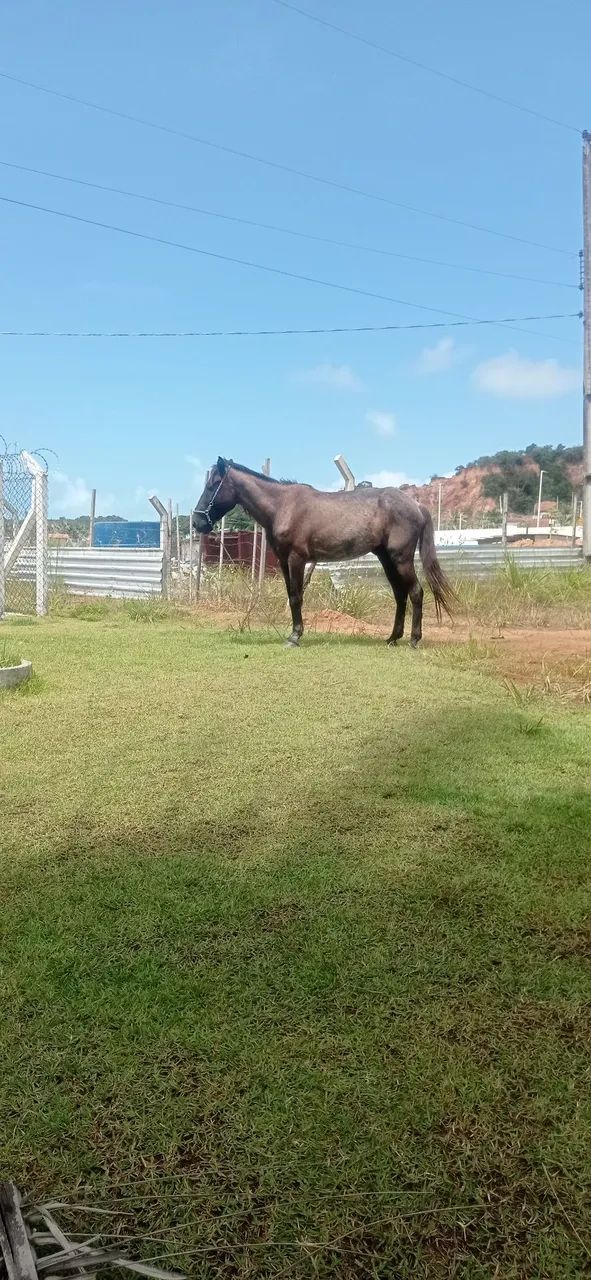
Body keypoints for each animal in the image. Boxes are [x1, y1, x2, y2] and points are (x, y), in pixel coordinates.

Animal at [192, 458, 457, 647]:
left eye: (212, 484)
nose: (197, 522)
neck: (282, 506)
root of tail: (416, 505)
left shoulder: (297, 559)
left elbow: (297, 596)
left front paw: (295, 637)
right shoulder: (283, 561)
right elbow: (292, 595)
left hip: (400, 558)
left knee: (416, 592)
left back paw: (414, 639)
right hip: (386, 559)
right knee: (400, 595)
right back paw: (392, 638)